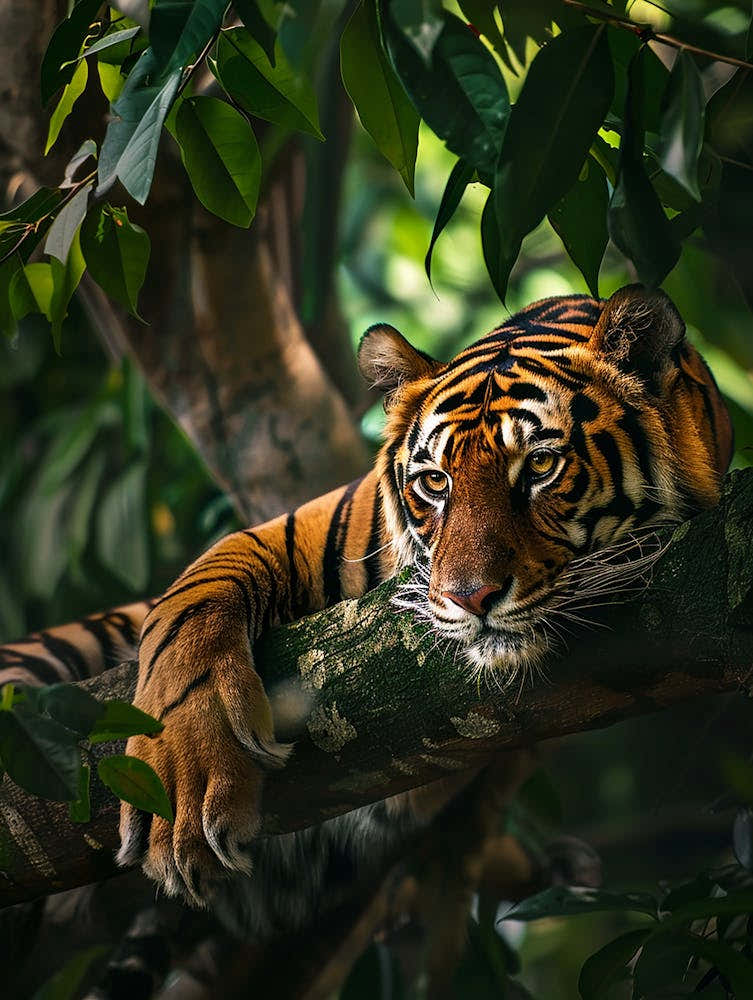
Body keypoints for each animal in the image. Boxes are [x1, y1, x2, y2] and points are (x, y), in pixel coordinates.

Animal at [0, 285, 732, 965]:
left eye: (542, 468)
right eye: (435, 483)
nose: (469, 597)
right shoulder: (290, 530)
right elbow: (192, 603)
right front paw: (184, 778)